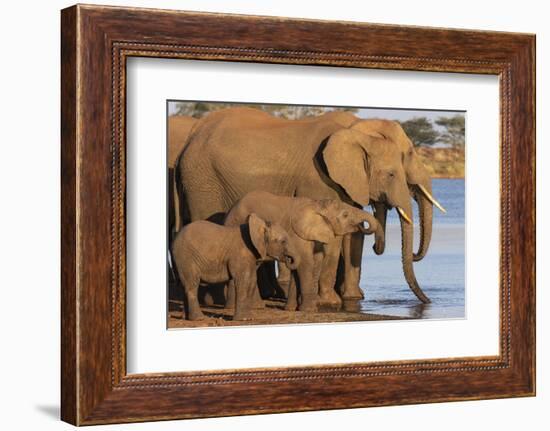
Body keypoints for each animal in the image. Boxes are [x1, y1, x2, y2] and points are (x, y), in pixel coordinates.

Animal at [224, 192, 384, 310]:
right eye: (345, 215)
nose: (362, 225)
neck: (317, 204)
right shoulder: (296, 233)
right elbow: (305, 262)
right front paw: (310, 309)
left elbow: (309, 262)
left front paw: (292, 309)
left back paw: (250, 306)